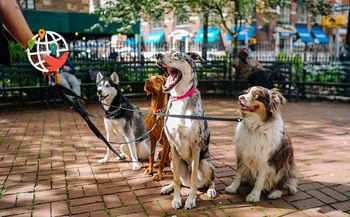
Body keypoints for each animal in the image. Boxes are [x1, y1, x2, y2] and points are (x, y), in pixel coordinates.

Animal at [156, 51, 216, 209]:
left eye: (176, 55)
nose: (157, 54)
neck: (180, 98)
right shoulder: (173, 147)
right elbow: (176, 179)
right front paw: (177, 200)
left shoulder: (195, 146)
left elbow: (194, 178)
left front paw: (190, 200)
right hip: (172, 161)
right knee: (180, 181)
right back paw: (168, 187)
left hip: (206, 164)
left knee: (210, 180)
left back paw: (211, 190)